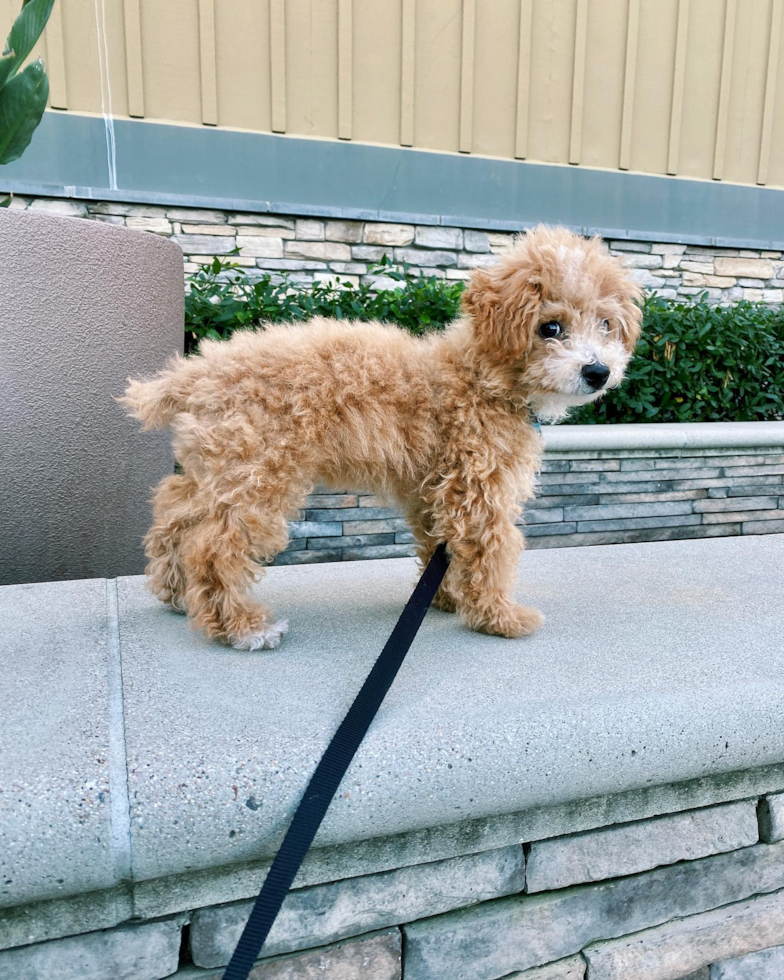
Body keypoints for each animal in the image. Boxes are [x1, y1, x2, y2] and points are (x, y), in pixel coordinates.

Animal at [121, 225, 636, 648]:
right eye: (550, 327)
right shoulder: (478, 487)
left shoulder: (434, 490)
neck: (480, 377)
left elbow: (437, 546)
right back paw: (243, 629)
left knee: (174, 513)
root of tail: (193, 375)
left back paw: (175, 592)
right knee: (213, 546)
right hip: (258, 475)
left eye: (605, 324)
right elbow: (490, 550)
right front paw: (500, 618)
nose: (598, 371)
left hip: (218, 467)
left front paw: (444, 600)